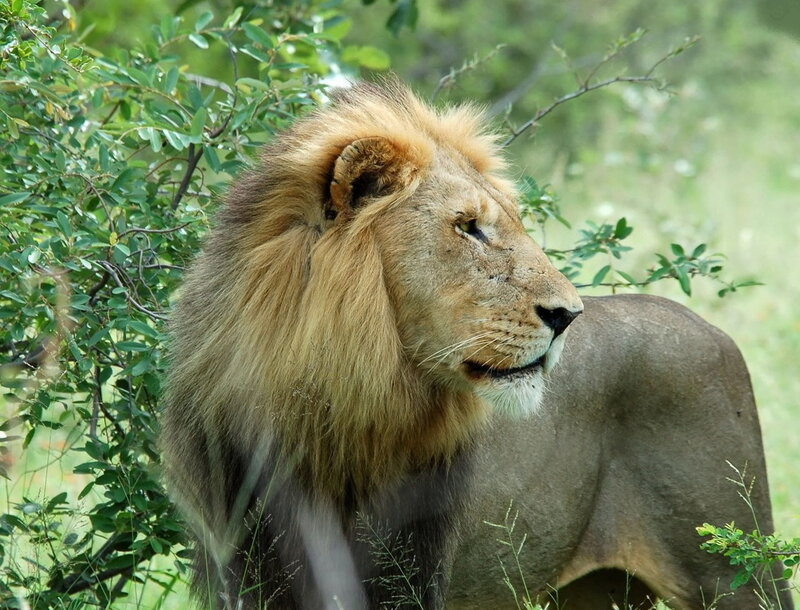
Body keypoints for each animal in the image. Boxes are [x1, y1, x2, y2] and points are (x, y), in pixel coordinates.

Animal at [161, 80, 792, 609]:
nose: (569, 315)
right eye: (468, 226)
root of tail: (712, 329)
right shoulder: (249, 567)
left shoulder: (409, 571)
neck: (317, 411)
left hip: (734, 569)